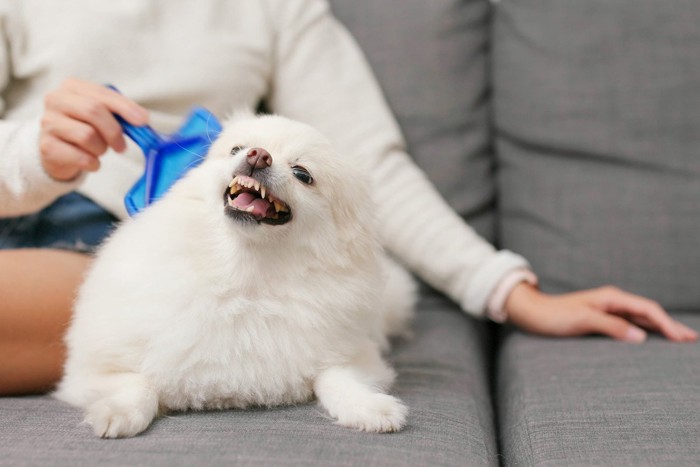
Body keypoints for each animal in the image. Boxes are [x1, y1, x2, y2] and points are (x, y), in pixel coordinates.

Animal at [57, 113, 416, 438]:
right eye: (236, 149)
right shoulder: (93, 371)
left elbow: (338, 378)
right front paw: (117, 412)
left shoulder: (354, 355)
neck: (245, 275)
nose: (258, 154)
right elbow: (138, 383)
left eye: (302, 174)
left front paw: (369, 407)